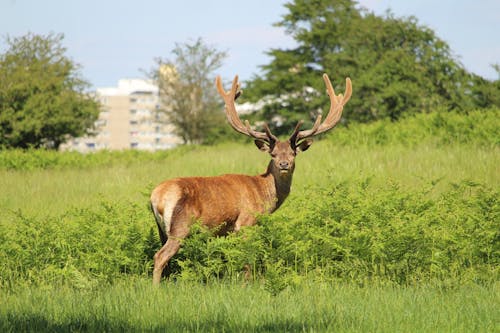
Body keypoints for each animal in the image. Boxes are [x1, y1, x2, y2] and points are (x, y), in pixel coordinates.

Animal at [150, 72, 354, 282]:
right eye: (273, 154)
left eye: (292, 153)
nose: (284, 164)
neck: (263, 193)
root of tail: (157, 197)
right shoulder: (246, 222)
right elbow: (247, 259)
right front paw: (247, 282)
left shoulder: (227, 231)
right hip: (181, 226)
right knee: (160, 256)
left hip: (161, 229)